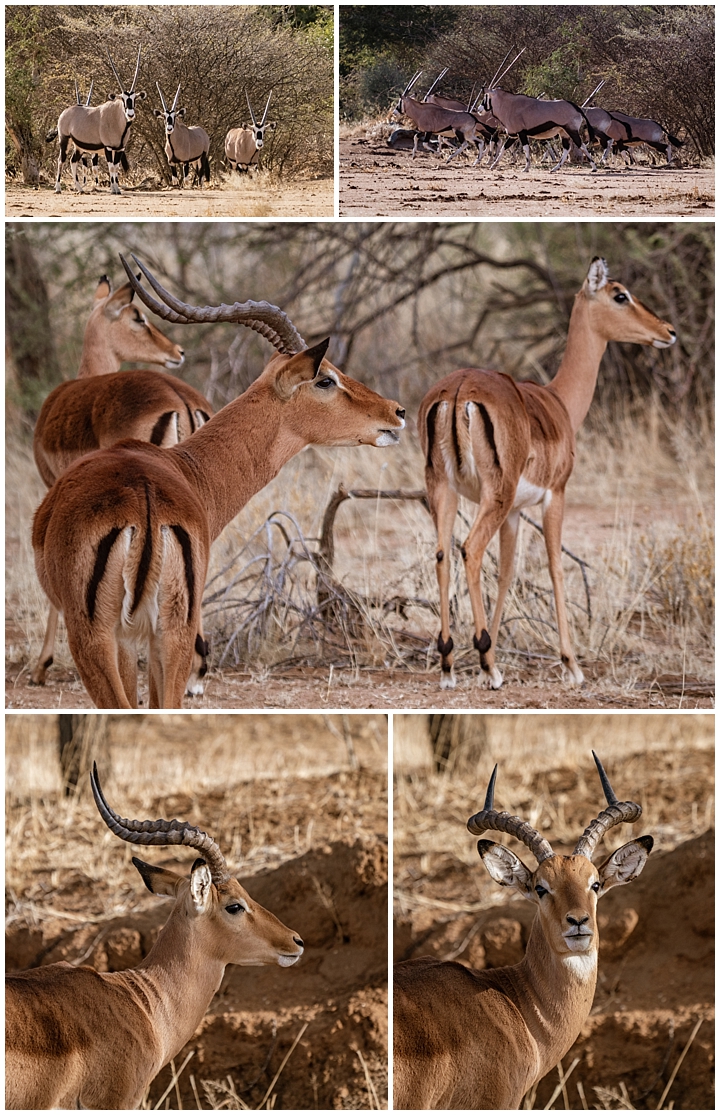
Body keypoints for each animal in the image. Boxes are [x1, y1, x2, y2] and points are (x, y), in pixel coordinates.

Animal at [47, 47, 147, 194]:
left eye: (135, 99)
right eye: (123, 99)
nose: (130, 114)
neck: (118, 121)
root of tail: (65, 112)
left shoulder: (120, 148)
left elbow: (116, 168)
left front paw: (116, 188)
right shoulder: (108, 147)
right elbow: (111, 167)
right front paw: (114, 190)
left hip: (79, 146)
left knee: (73, 161)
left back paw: (79, 188)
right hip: (65, 139)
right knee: (61, 160)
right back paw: (58, 188)